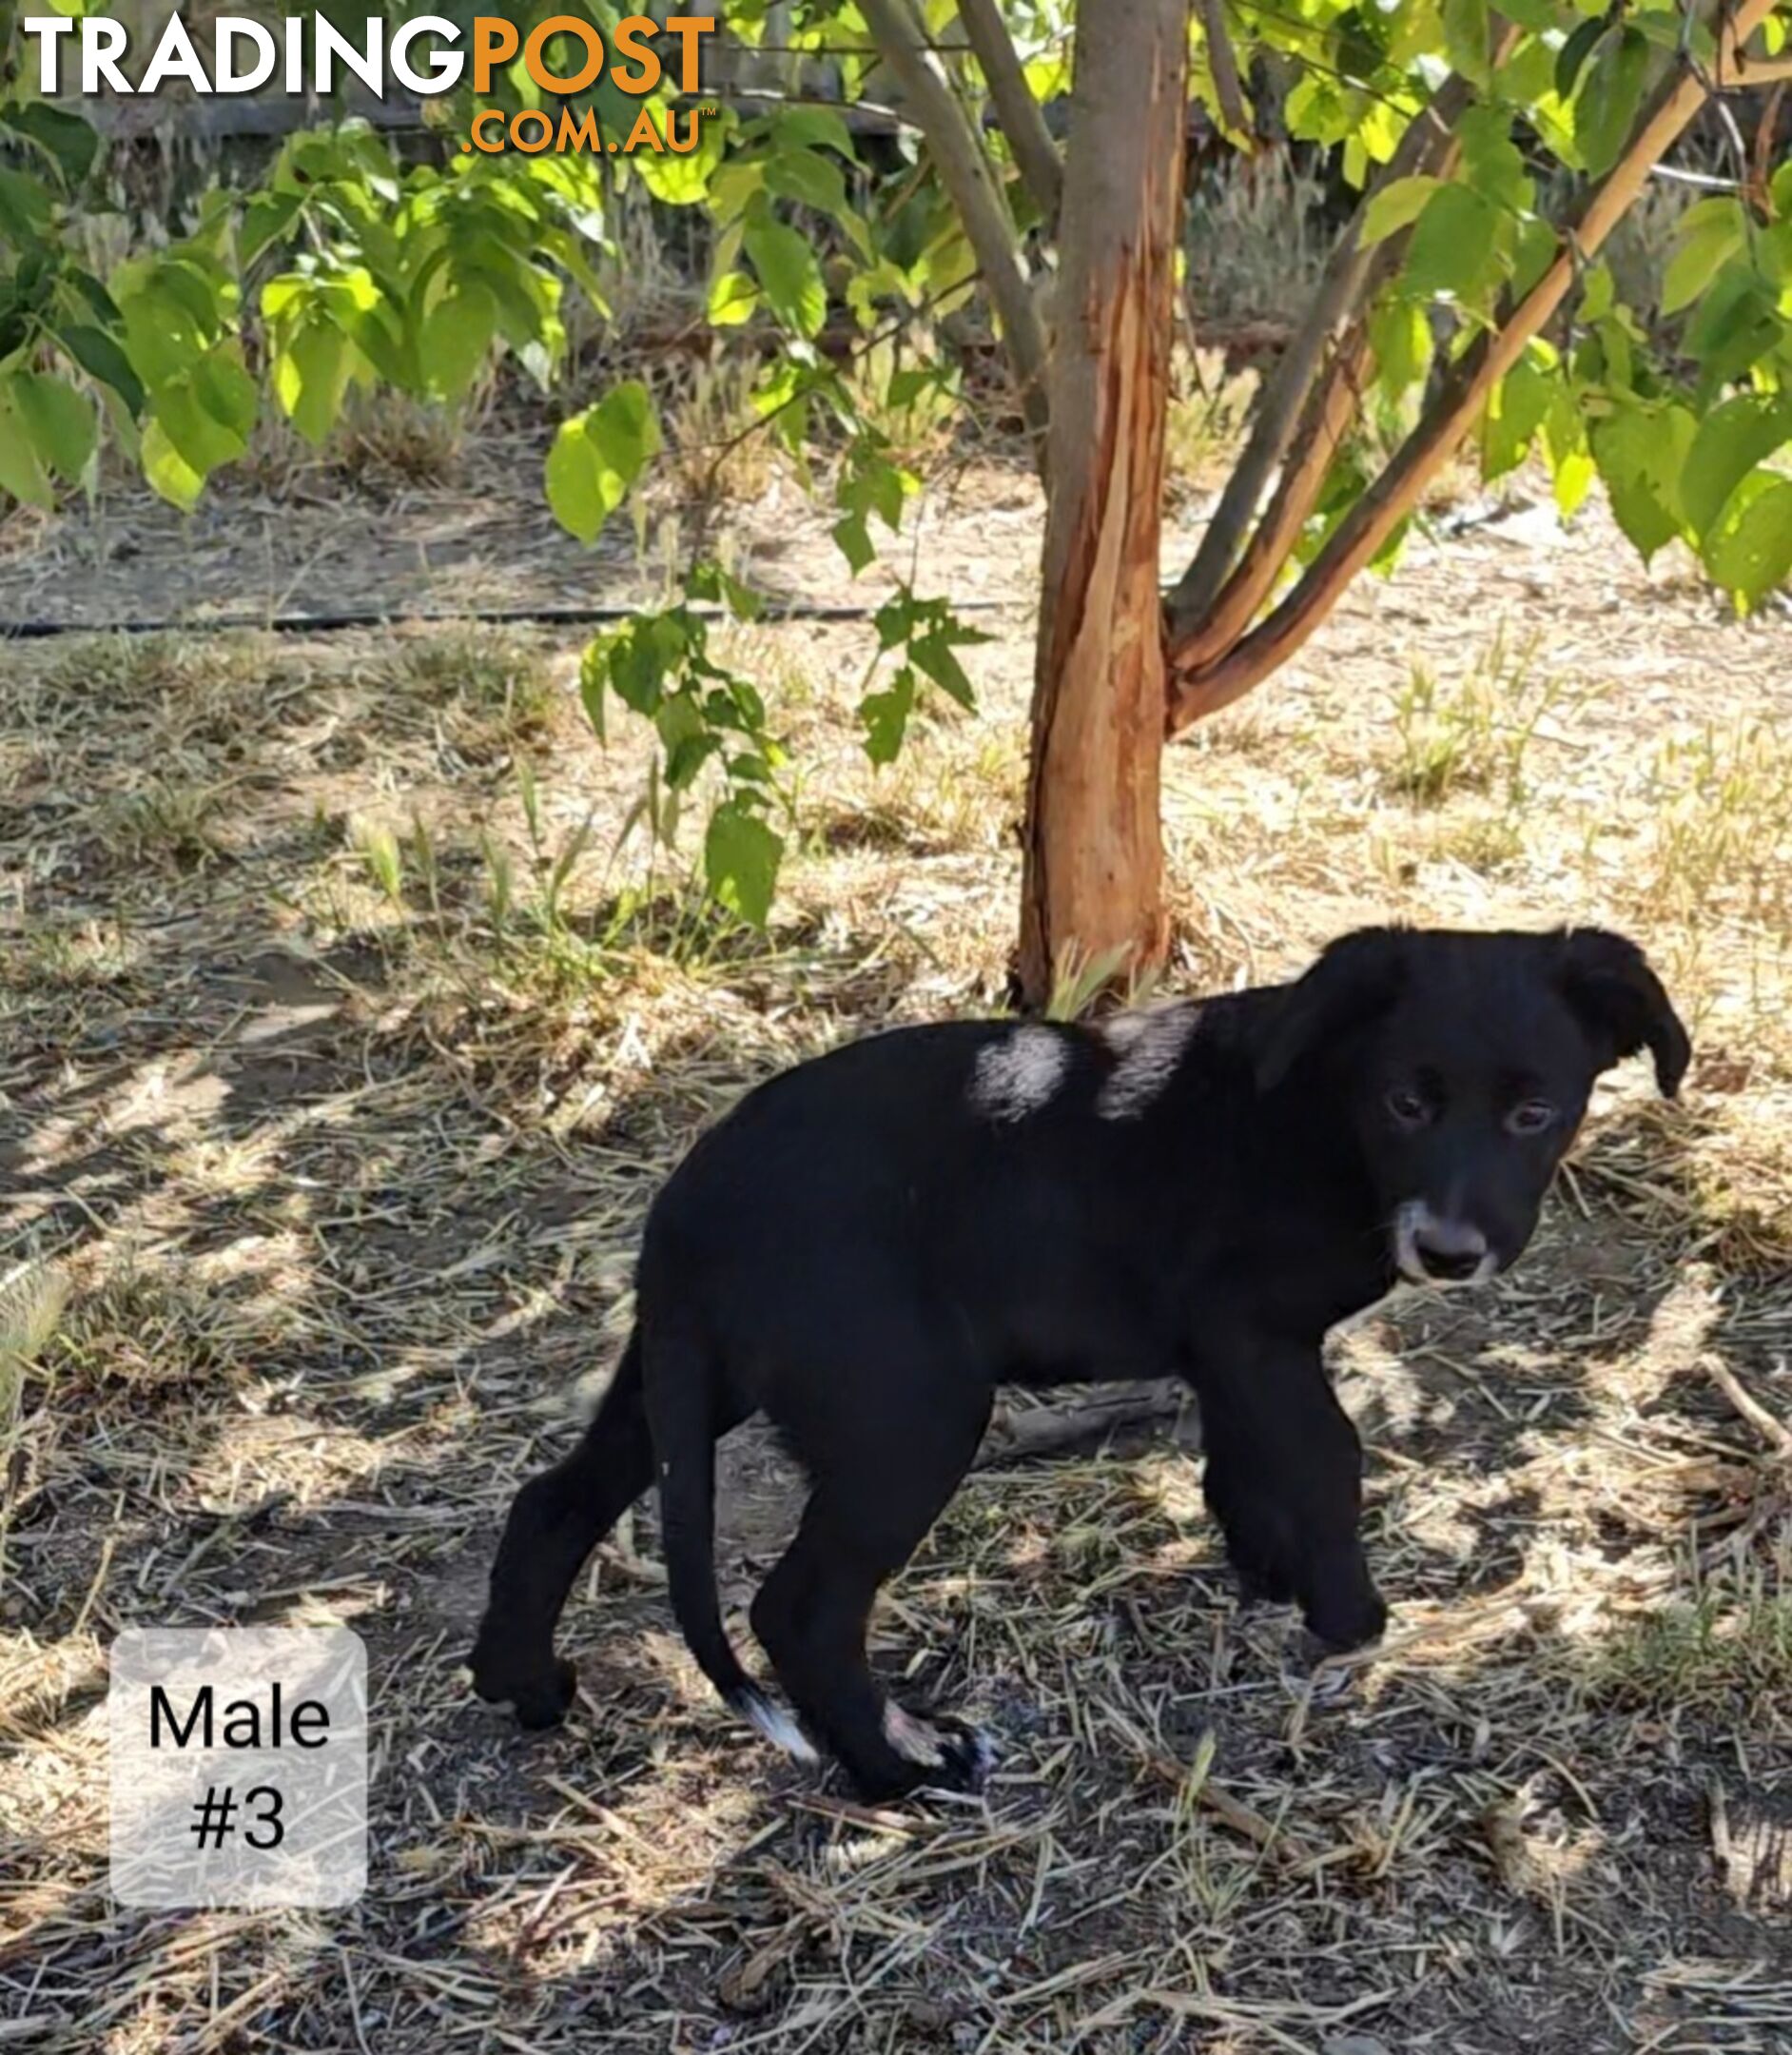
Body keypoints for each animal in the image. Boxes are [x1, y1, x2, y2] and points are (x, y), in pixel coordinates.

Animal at [468, 929, 1685, 1800]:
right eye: (1407, 1102)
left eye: (1537, 1112)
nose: (1450, 1248)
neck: (1318, 1111)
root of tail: (689, 1202)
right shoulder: (1250, 1328)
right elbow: (1326, 1458)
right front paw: (1350, 1616)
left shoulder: (1227, 1347)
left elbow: (1245, 1463)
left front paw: (1267, 1567)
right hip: (910, 1414)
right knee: (798, 1609)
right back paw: (897, 1770)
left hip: (682, 1380)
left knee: (552, 1502)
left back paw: (522, 1685)